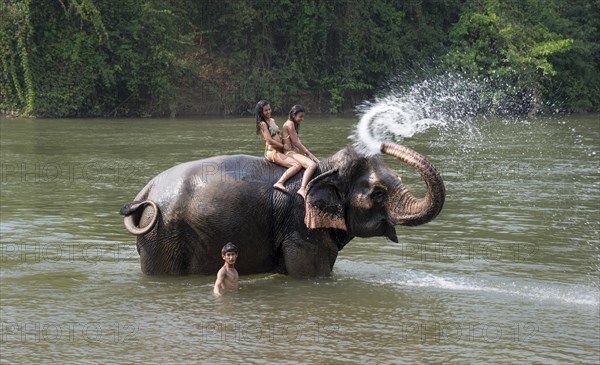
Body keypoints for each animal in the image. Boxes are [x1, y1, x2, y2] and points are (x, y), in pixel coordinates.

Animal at [119, 142, 442, 276]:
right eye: (377, 193)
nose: (385, 143)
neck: (325, 167)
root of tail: (147, 189)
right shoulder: (299, 227)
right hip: (163, 236)